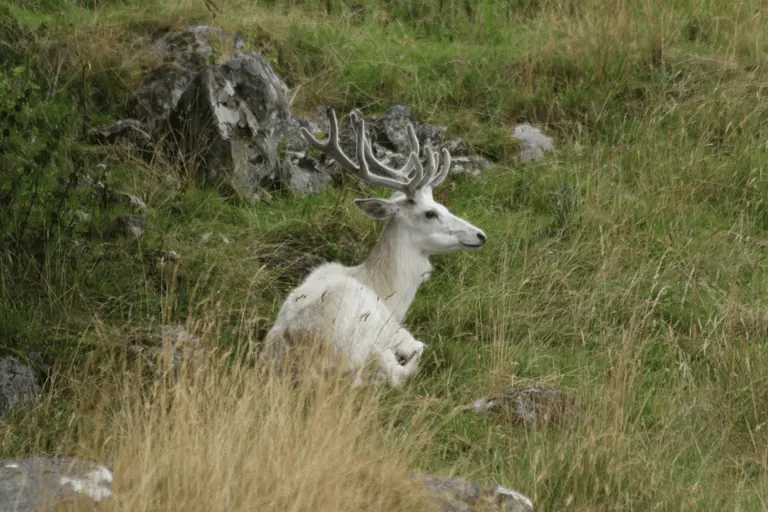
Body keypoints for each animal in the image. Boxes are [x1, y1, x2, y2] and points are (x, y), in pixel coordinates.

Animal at [263, 107, 486, 388]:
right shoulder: (393, 329)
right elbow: (416, 346)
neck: (389, 292)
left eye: (444, 207)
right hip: (366, 343)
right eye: (430, 213)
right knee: (395, 372)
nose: (480, 235)